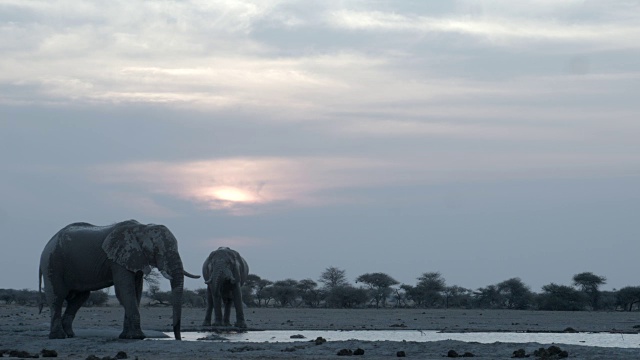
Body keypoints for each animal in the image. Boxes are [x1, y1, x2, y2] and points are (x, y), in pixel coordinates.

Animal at [38, 219, 199, 340]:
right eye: (157, 249)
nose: (178, 338)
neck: (142, 228)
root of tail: (48, 243)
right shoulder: (118, 258)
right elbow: (125, 290)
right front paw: (137, 337)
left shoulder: (134, 258)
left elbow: (136, 291)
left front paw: (127, 336)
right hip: (52, 263)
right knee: (57, 296)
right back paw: (58, 336)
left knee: (80, 298)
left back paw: (70, 335)